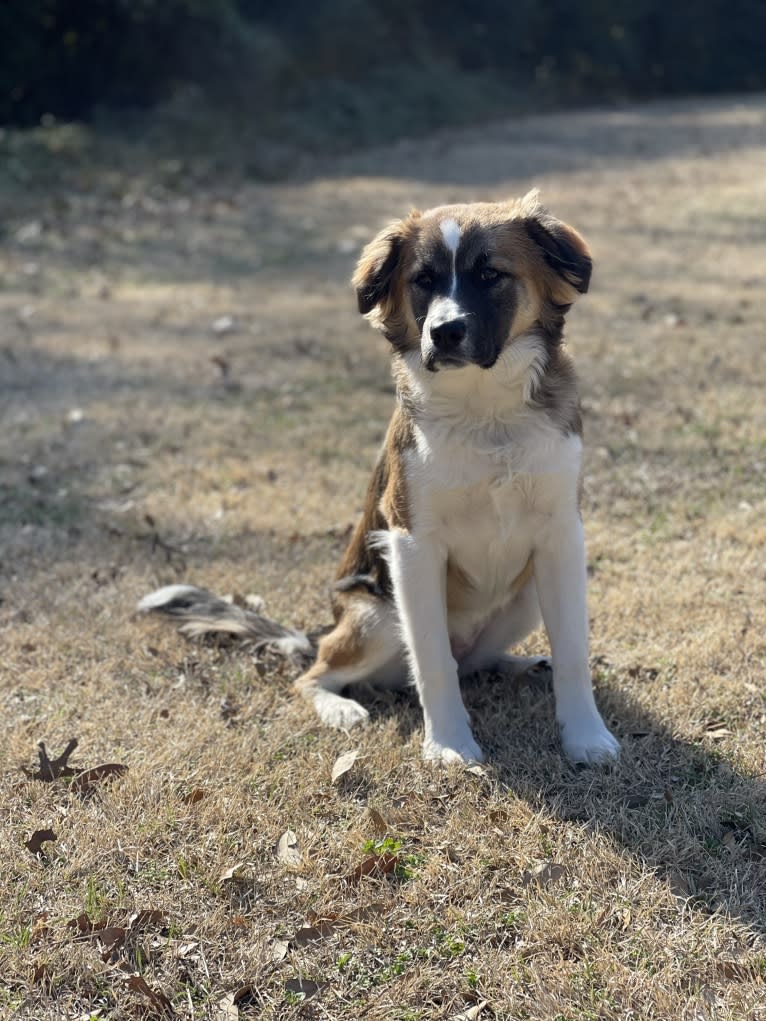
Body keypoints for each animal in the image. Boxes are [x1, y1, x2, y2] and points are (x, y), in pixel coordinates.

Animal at [140, 191, 625, 767]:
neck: (485, 411)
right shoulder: (412, 544)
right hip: (378, 617)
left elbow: (572, 650)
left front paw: (585, 736)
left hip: (525, 596)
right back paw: (339, 708)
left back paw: (519, 665)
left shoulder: (560, 538)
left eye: (490, 274)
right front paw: (449, 744)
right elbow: (432, 660)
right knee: (318, 673)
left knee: (473, 661)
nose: (444, 332)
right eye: (423, 279)